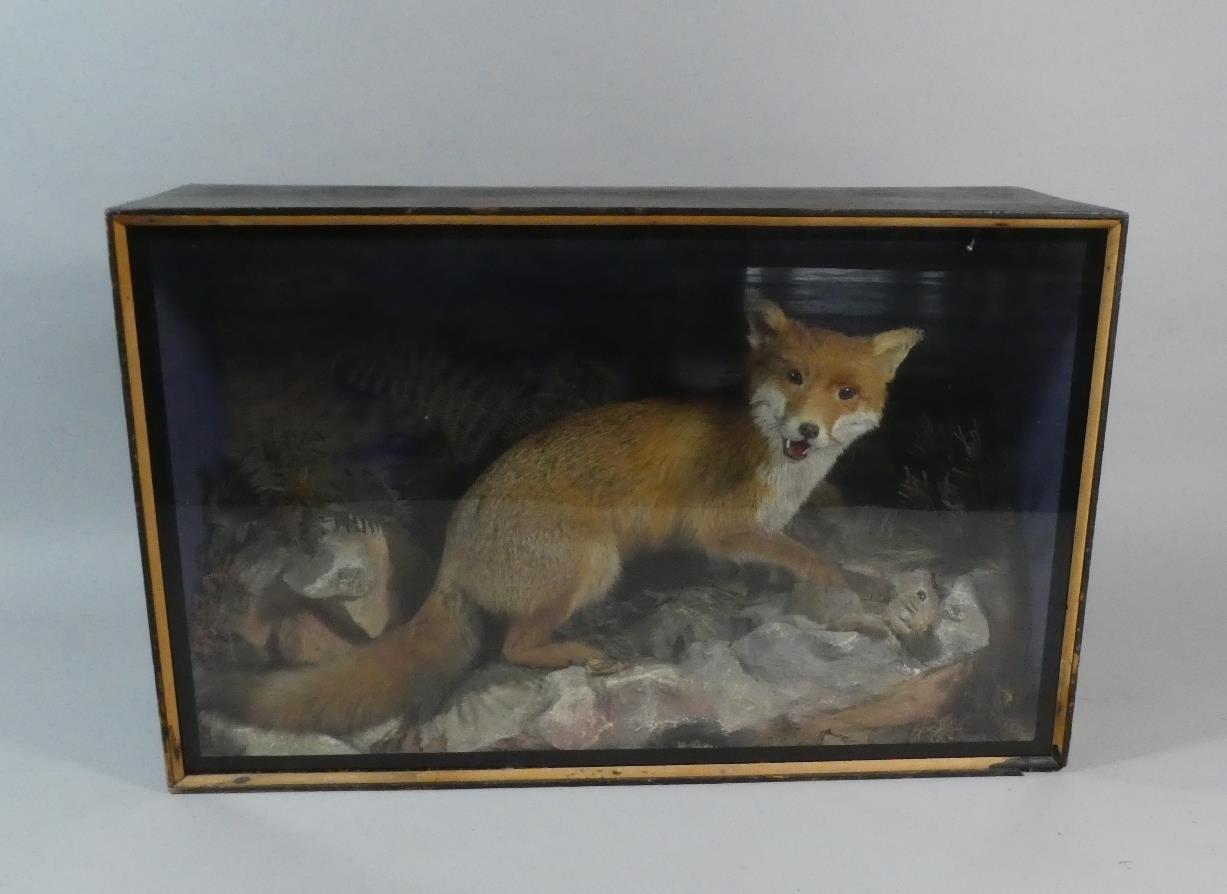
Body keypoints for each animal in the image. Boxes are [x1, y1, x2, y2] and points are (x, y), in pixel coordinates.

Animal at [201, 296, 917, 730]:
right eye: (794, 378)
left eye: (845, 392)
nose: (806, 431)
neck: (778, 462)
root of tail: (453, 546)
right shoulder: (718, 525)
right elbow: (808, 556)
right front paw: (846, 582)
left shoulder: (756, 528)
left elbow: (783, 553)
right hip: (595, 563)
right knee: (515, 646)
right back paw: (582, 652)